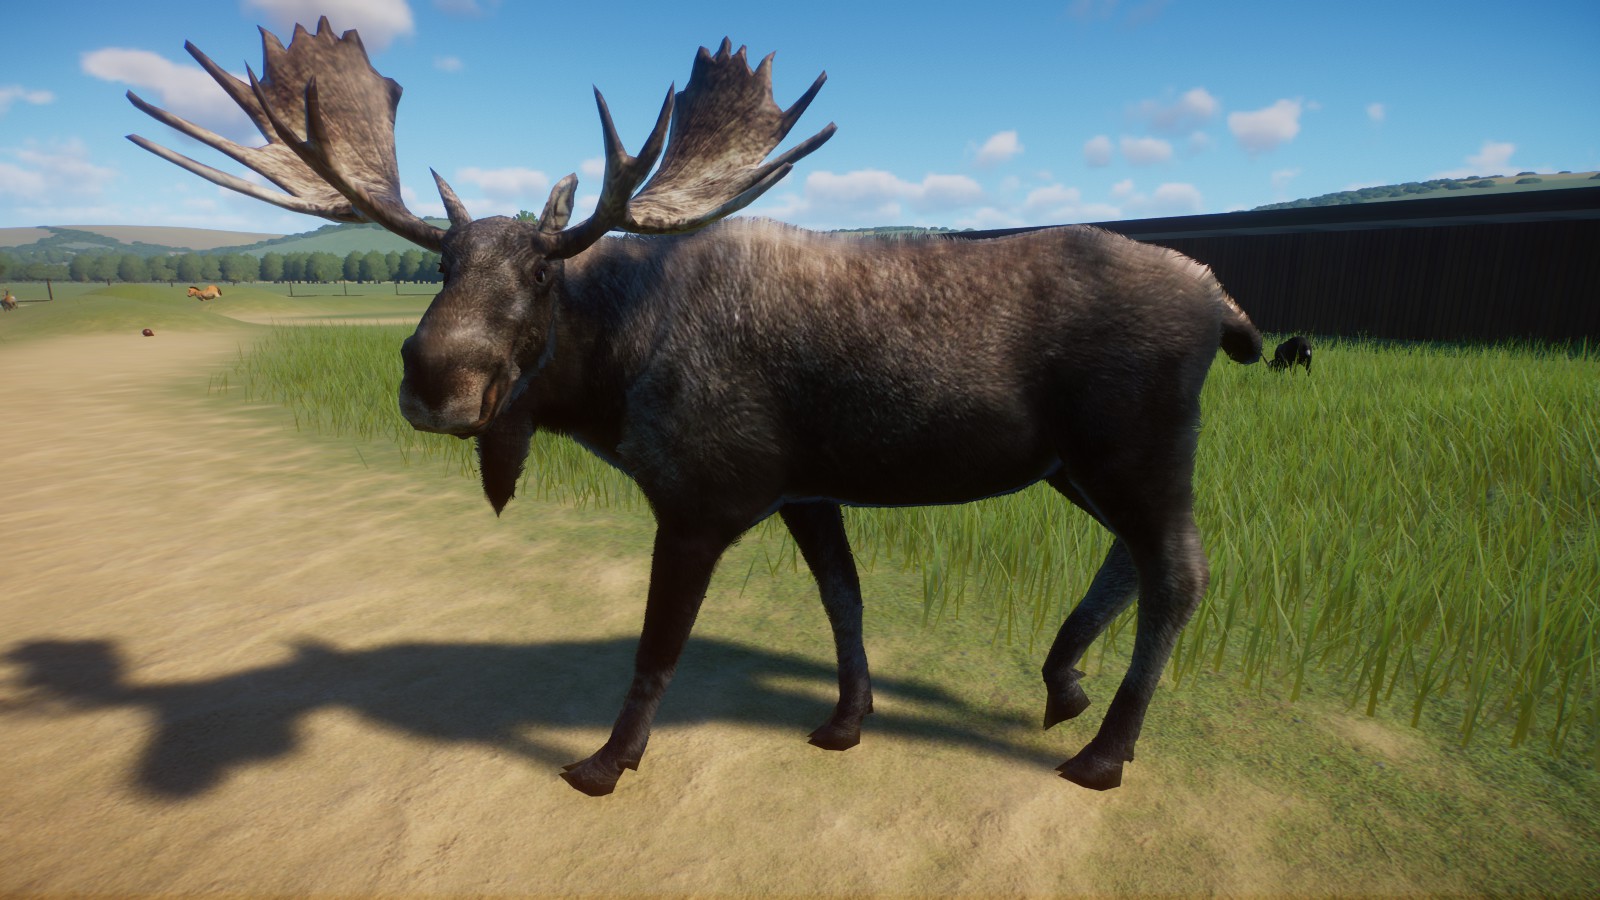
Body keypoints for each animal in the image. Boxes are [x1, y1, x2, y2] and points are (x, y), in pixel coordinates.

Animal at [128, 18, 1262, 797]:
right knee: (1139, 557)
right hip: (1075, 464)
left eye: (542, 273)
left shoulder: (703, 499)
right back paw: (1062, 684)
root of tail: (1223, 302)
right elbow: (844, 599)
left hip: (1136, 447)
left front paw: (605, 761)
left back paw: (1105, 750)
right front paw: (846, 721)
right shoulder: (807, 489)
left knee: (1182, 569)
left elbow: (657, 645)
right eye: (439, 265)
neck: (611, 368)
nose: (432, 378)